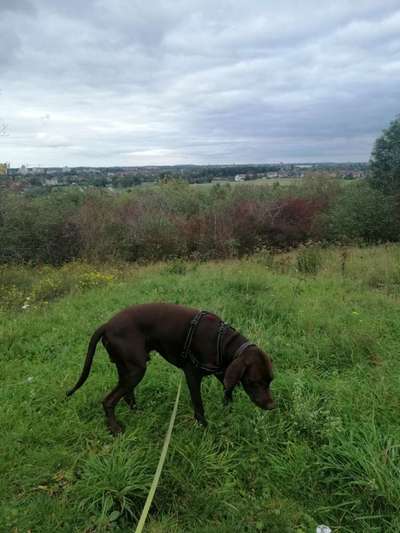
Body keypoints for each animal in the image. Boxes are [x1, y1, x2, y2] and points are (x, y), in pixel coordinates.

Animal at [68, 302, 276, 434]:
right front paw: (205, 428)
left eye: (270, 380)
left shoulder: (222, 370)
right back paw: (115, 428)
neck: (222, 341)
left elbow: (228, 391)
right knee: (109, 400)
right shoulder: (192, 375)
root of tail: (107, 325)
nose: (272, 406)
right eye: (255, 382)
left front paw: (228, 412)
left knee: (127, 395)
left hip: (127, 368)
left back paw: (138, 413)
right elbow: (199, 406)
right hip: (136, 370)